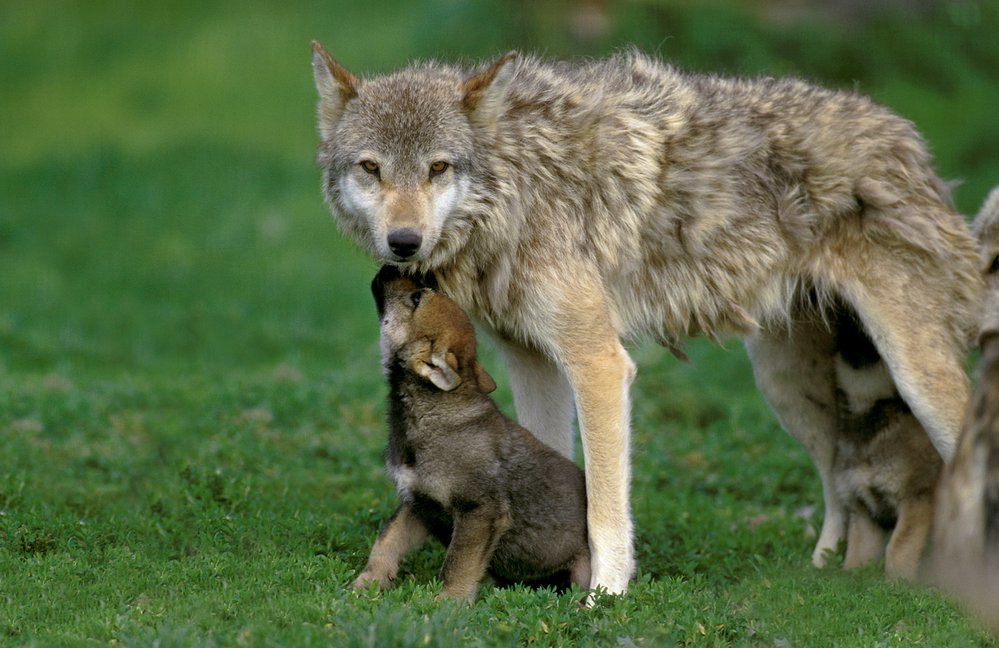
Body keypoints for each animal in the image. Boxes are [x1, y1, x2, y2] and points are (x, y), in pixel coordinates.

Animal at [354, 266, 588, 600]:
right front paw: (366, 584)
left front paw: (447, 601)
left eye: (416, 297)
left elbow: (457, 563)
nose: (390, 266)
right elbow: (386, 541)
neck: (431, 411)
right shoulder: (419, 502)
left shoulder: (478, 510)